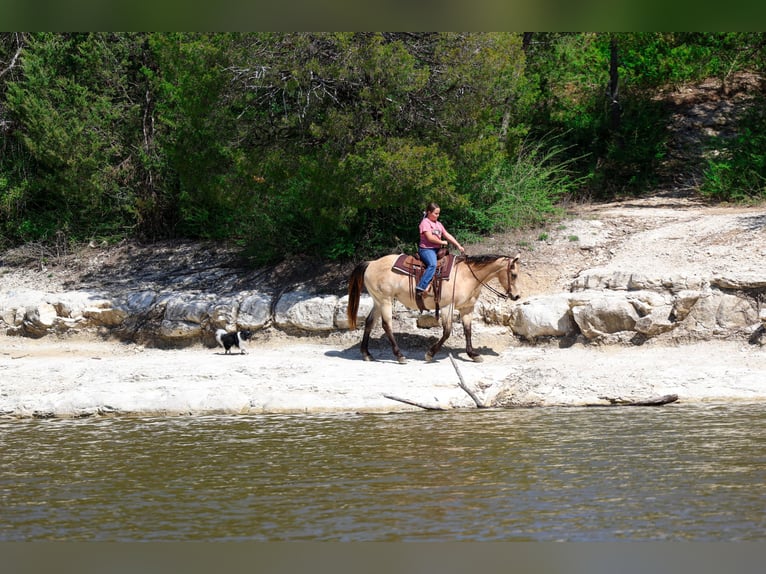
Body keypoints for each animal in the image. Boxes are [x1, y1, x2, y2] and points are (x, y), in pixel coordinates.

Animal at [346, 253, 520, 363]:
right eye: (514, 275)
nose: (517, 296)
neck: (466, 275)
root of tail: (371, 263)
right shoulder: (446, 307)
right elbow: (447, 331)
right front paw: (430, 354)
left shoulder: (467, 308)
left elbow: (468, 331)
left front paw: (473, 354)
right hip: (385, 300)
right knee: (386, 325)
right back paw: (400, 356)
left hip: (378, 301)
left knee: (369, 322)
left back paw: (366, 354)